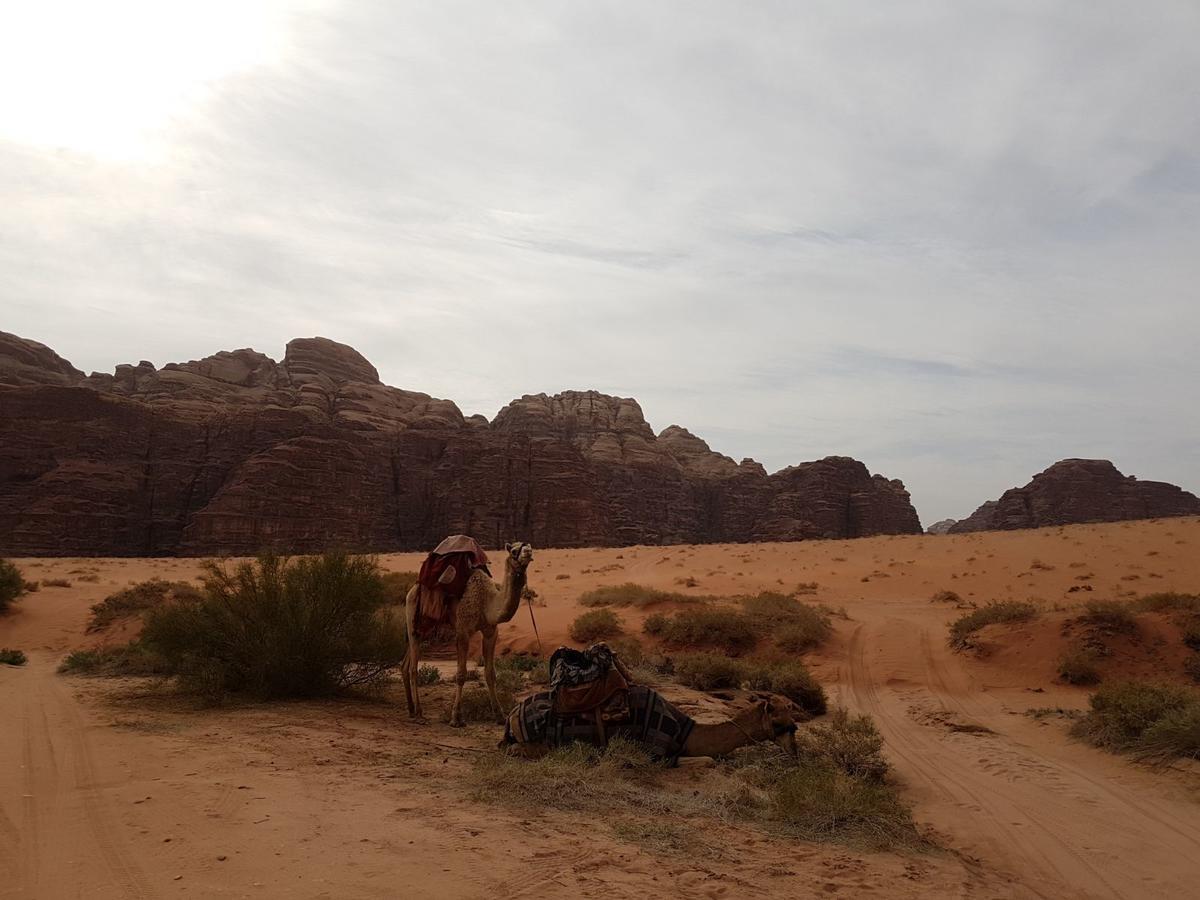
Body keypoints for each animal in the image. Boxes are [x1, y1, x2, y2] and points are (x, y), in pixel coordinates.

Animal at [403, 542, 535, 724]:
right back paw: (419, 713)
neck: (487, 602)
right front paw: (455, 717)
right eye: (514, 551)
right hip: (413, 616)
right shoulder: (463, 631)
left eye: (528, 546)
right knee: (413, 668)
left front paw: (500, 715)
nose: (528, 551)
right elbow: (461, 674)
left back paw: (410, 709)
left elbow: (490, 674)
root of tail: (412, 589)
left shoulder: (491, 632)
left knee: (406, 663)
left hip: (425, 627)